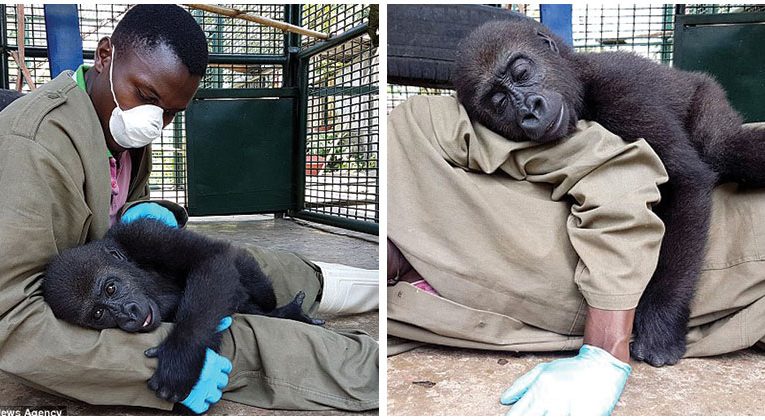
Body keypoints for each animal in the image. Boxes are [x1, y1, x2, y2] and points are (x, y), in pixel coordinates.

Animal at [41, 218, 322, 402]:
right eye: (98, 314)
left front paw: (181, 358)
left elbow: (211, 258)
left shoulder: (143, 233)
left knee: (252, 278)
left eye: (111, 288)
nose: (128, 314)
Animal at [454, 20, 764, 368]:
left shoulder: (619, 89)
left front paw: (661, 321)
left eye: (521, 72)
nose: (529, 110)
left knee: (722, 146)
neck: (581, 81)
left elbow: (686, 181)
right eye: (500, 102)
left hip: (707, 95)